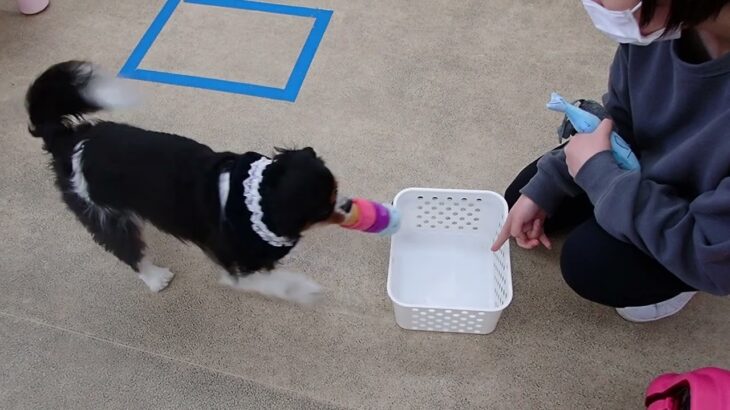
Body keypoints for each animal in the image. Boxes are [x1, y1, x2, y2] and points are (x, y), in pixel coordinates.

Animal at [27, 60, 346, 304]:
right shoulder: (237, 262)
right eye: (325, 208)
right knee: (128, 250)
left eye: (338, 190)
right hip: (102, 213)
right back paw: (156, 278)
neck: (251, 194)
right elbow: (276, 282)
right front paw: (306, 290)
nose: (348, 205)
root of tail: (67, 140)